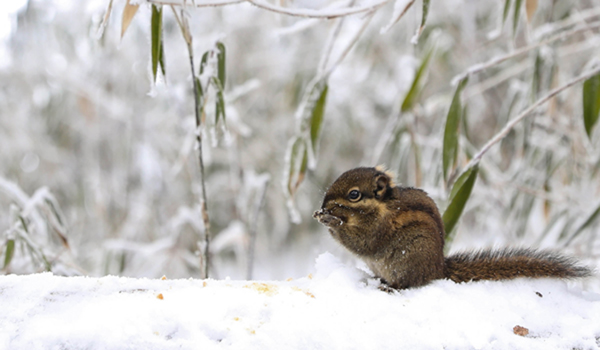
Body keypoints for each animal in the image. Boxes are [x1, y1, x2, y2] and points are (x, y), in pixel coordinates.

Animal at [312, 167, 592, 290]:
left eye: (354, 195)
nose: (324, 205)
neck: (381, 206)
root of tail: (438, 268)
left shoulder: (378, 229)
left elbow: (362, 242)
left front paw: (331, 221)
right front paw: (321, 214)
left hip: (409, 258)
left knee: (410, 282)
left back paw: (391, 286)